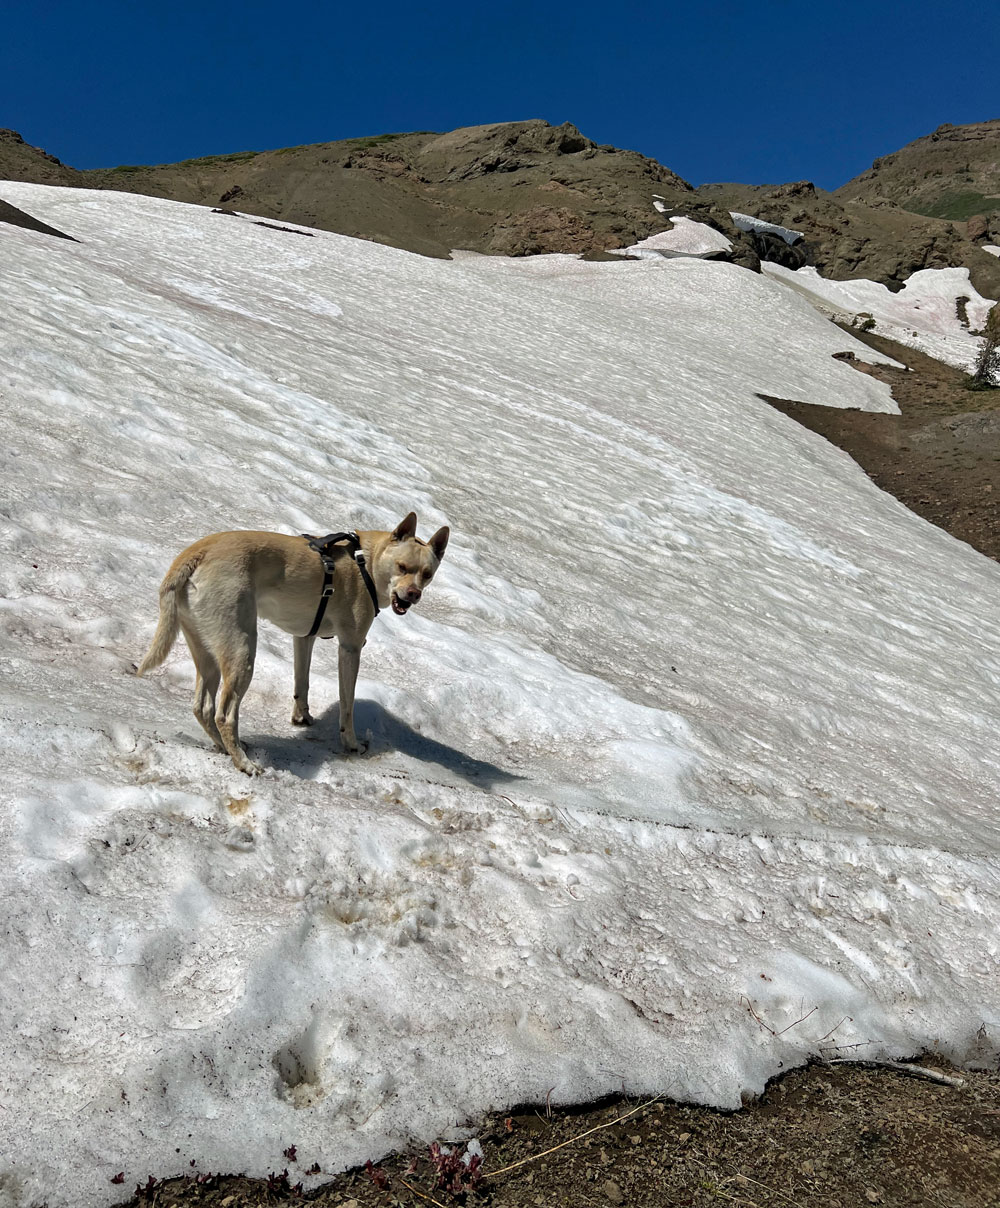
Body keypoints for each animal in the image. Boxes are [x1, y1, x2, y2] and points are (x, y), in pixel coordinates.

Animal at [136, 509, 449, 773]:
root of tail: (196, 552)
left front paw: (302, 718)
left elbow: (302, 682)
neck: (367, 563)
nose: (413, 594)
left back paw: (226, 747)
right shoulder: (350, 647)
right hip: (242, 650)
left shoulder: (304, 637)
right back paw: (244, 763)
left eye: (427, 574)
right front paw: (351, 743)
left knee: (203, 707)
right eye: (402, 566)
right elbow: (346, 705)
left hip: (205, 648)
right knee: (224, 714)